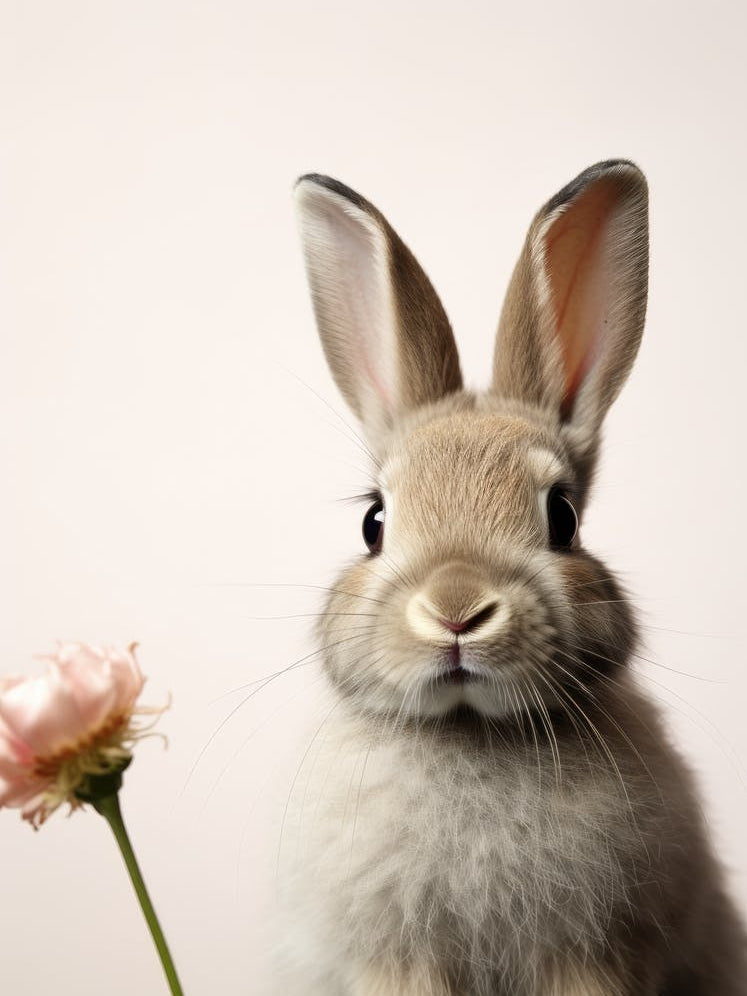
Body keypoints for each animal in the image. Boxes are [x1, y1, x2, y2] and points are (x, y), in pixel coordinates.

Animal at [279, 160, 747, 995]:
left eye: (561, 518)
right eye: (373, 523)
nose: (456, 610)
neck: (472, 732)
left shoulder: (592, 957)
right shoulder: (395, 962)